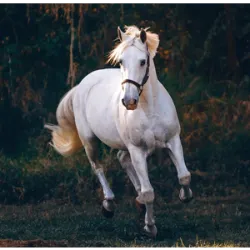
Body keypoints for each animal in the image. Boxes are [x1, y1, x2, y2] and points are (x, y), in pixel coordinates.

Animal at [45, 25, 193, 238]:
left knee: (122, 159)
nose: (128, 101)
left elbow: (184, 176)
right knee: (98, 167)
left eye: (143, 61)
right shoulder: (137, 150)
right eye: (121, 61)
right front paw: (150, 227)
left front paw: (184, 196)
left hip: (123, 145)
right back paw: (109, 205)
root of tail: (83, 84)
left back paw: (138, 201)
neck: (149, 109)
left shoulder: (173, 141)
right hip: (90, 141)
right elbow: (149, 192)